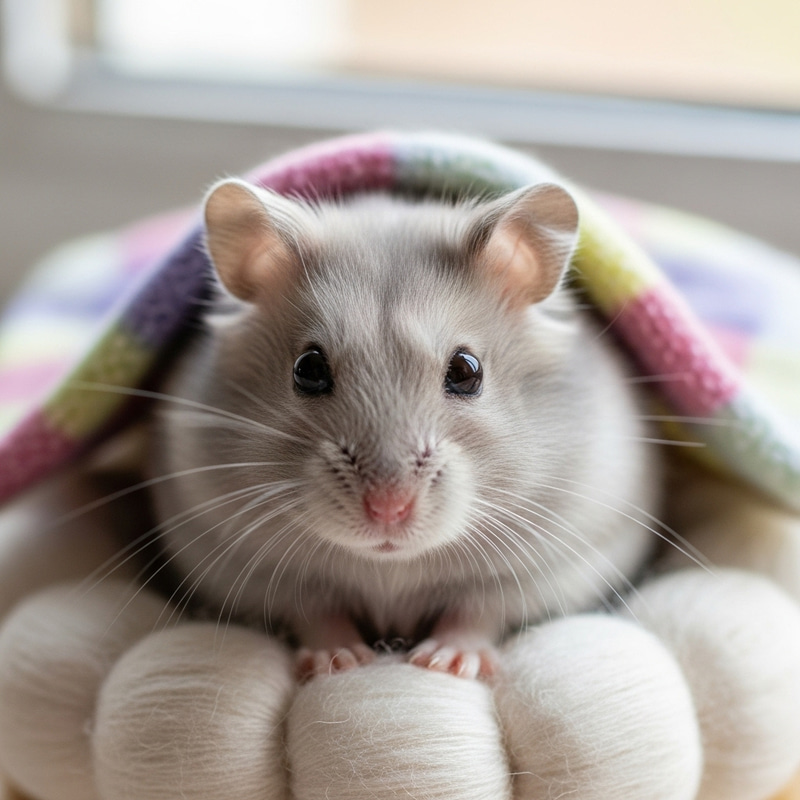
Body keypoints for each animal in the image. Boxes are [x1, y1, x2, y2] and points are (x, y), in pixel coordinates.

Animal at [147, 178, 660, 680]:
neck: (390, 564)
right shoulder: (251, 568)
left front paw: (445, 663)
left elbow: (476, 611)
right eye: (307, 369)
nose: (387, 510)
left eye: (467, 371)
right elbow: (317, 612)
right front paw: (339, 662)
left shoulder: (546, 567)